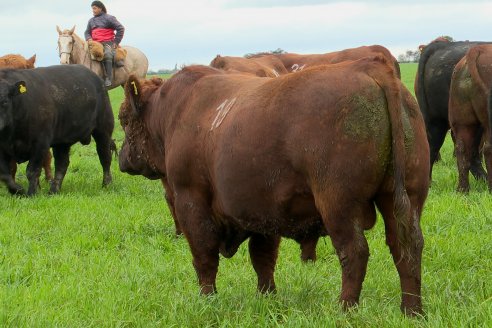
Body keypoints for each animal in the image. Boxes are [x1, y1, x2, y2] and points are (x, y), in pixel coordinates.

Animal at [0, 65, 114, 196]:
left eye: (4, 101)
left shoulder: (40, 143)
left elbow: (32, 171)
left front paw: (31, 194)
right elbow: (5, 174)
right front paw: (17, 190)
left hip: (104, 130)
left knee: (105, 157)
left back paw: (107, 185)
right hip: (62, 141)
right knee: (62, 164)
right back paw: (54, 190)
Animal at [119, 56, 430, 316]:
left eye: (123, 119)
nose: (121, 158)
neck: (175, 111)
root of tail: (370, 66)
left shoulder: (191, 202)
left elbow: (204, 257)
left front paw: (207, 300)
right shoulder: (260, 211)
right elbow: (263, 259)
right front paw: (266, 298)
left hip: (339, 205)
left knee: (354, 252)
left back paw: (345, 309)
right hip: (404, 198)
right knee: (407, 247)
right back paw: (411, 310)